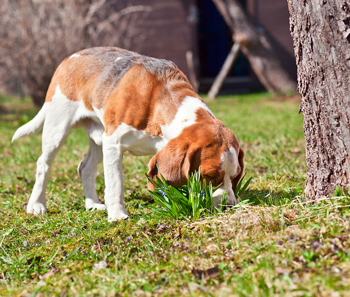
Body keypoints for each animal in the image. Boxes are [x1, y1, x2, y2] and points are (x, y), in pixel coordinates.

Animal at [12, 46, 245, 220]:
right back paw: (37, 205)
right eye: (210, 176)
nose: (229, 205)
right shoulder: (113, 143)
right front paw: (117, 215)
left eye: (235, 176)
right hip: (58, 128)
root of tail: (69, 58)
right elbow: (115, 184)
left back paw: (92, 204)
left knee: (85, 168)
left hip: (98, 138)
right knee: (43, 164)